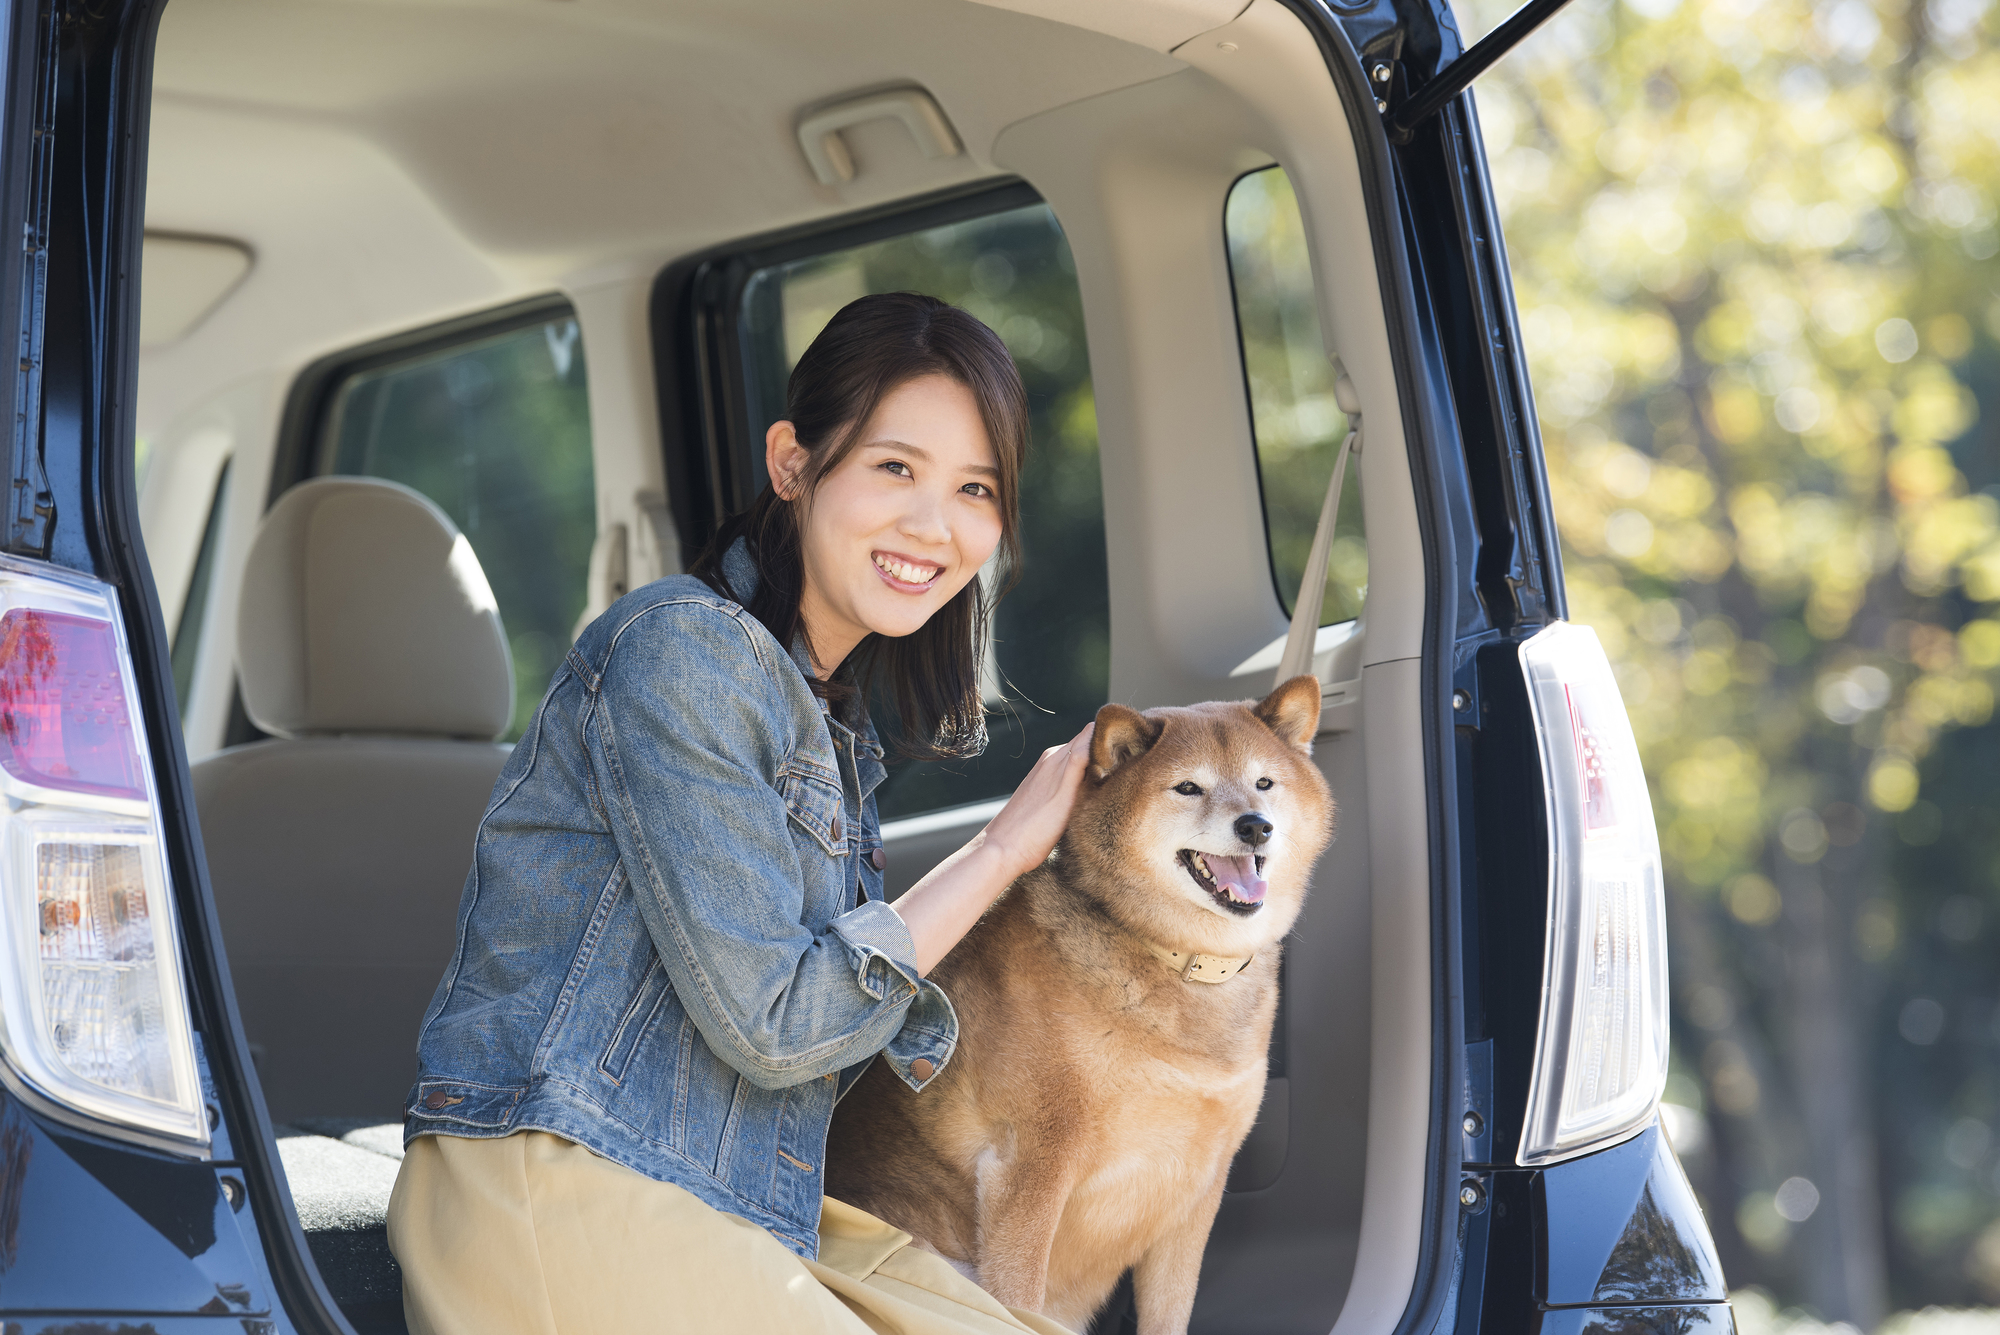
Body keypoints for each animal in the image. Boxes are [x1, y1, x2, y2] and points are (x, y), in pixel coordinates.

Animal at [820, 679, 1336, 1335]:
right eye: (1188, 787)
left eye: (1265, 783)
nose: (1255, 825)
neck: (1178, 962)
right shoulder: (1030, 1169)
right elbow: (1018, 1300)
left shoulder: (1197, 1190)